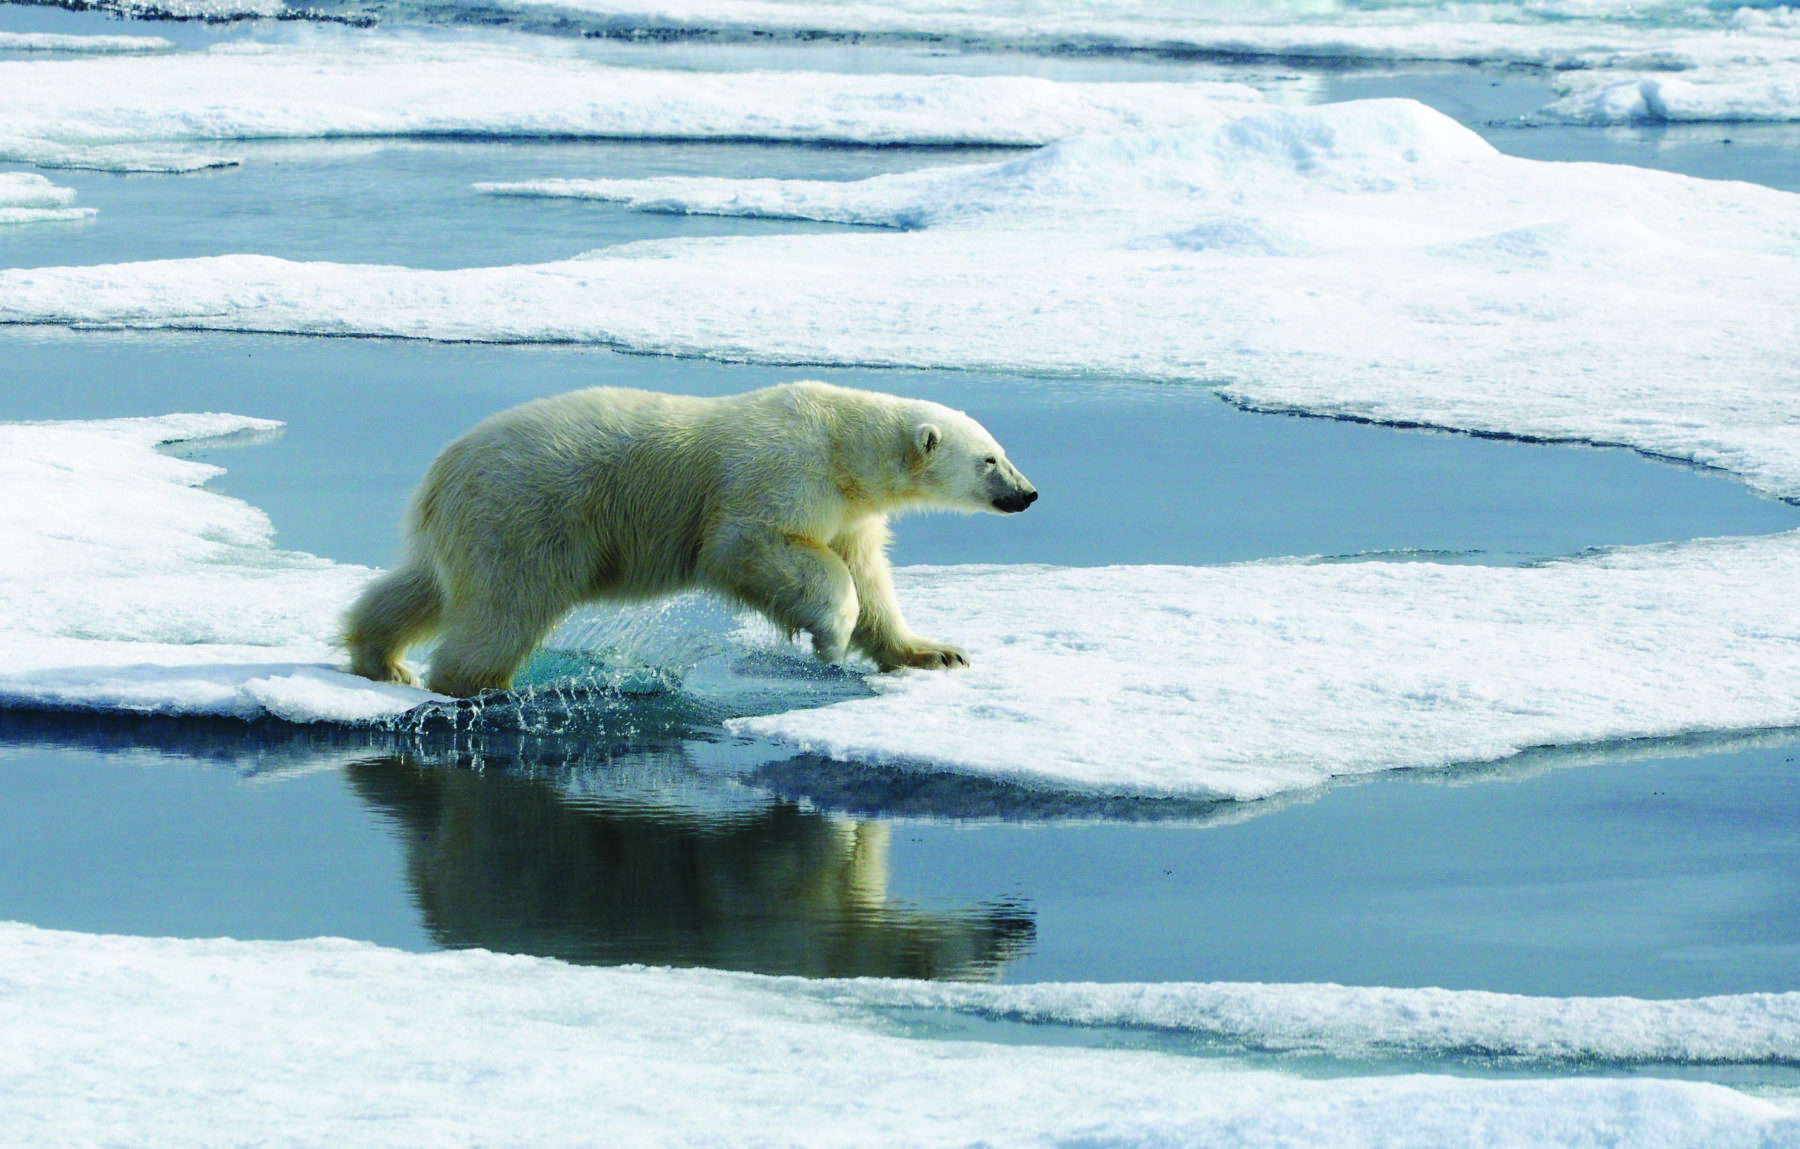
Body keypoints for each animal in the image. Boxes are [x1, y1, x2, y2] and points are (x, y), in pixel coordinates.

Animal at [342, 381, 1036, 698]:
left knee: (424, 588)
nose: (1028, 493)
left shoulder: (850, 512)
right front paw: (829, 638)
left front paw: (936, 651)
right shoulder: (780, 473)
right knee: (504, 608)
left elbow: (870, 578)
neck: (842, 441)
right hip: (527, 515)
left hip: (475, 526)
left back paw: (383, 659)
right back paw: (478, 686)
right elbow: (747, 545)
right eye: (990, 461)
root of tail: (441, 473)